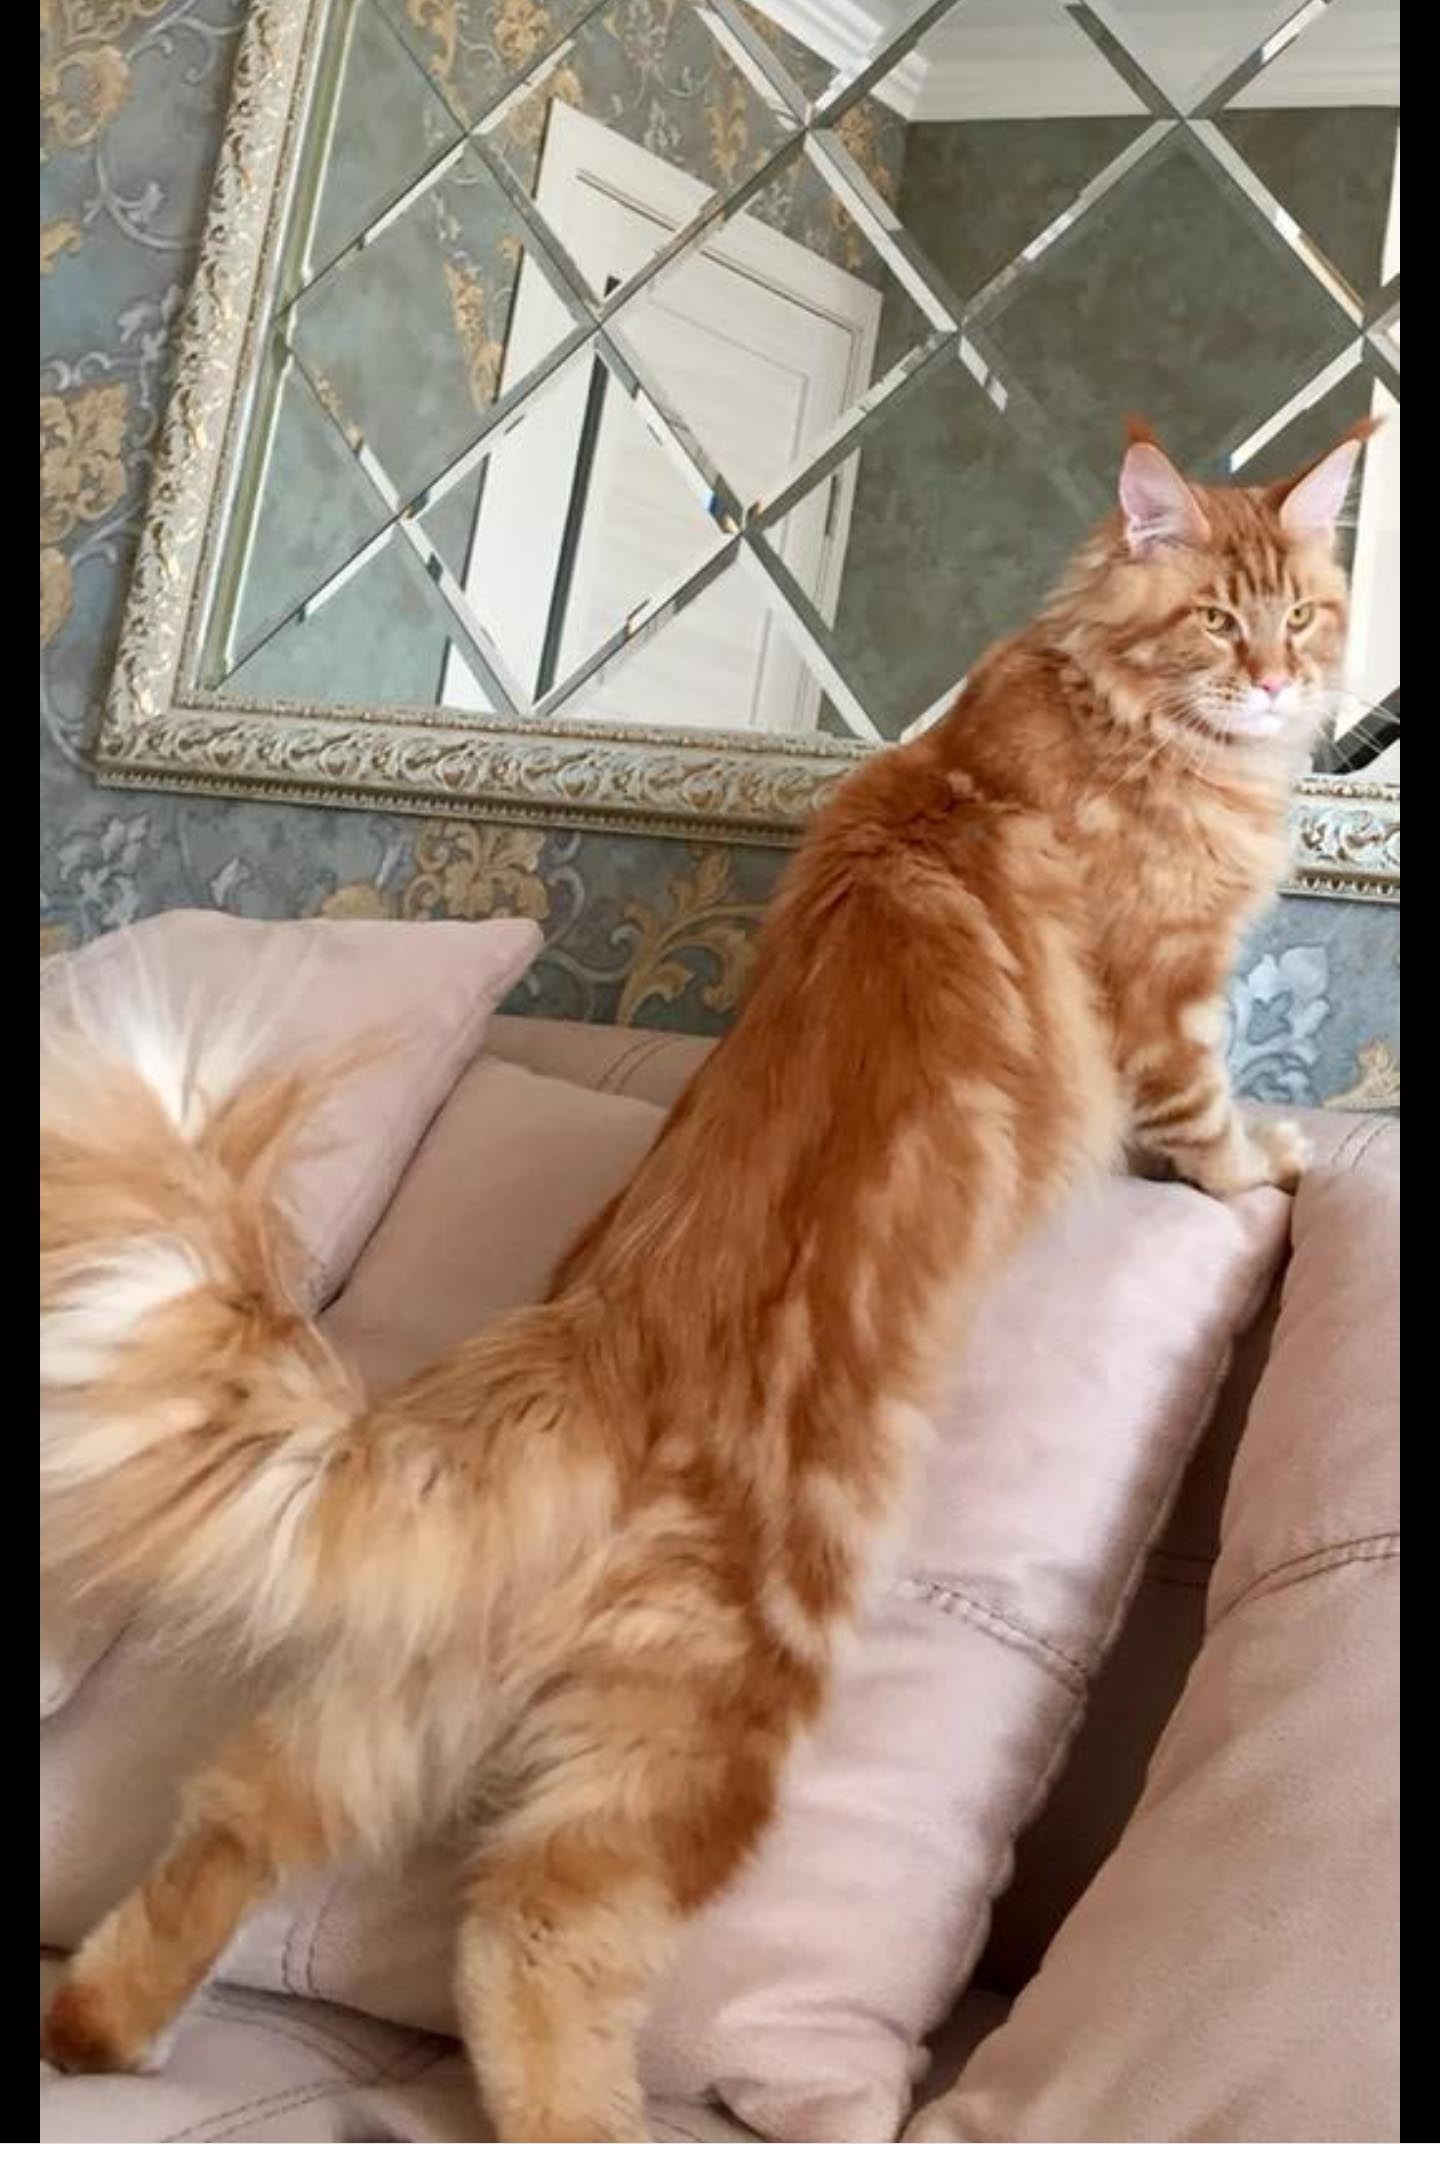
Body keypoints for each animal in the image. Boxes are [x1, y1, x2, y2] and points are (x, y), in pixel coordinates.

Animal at [40, 421, 1369, 2140]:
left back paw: (99, 2028)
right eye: (1220, 623)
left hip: (393, 1703)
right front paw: (1273, 1169)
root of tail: (584, 1354)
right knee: (526, 1936)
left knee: (233, 1827)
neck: (1088, 703)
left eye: (1306, 615)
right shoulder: (1164, 997)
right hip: (709, 1719)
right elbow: (1206, 1121)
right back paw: (590, 2130)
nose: (1281, 683)